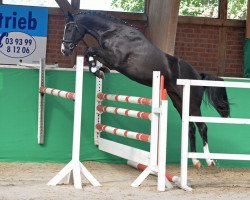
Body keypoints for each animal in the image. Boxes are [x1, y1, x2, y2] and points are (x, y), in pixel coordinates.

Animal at [61, 10, 230, 167]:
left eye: (69, 28)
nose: (64, 50)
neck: (113, 32)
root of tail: (197, 75)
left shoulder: (116, 59)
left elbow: (90, 50)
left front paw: (98, 71)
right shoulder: (110, 59)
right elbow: (92, 54)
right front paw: (100, 70)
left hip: (192, 104)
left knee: (202, 127)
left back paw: (209, 161)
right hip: (178, 102)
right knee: (190, 128)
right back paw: (195, 161)